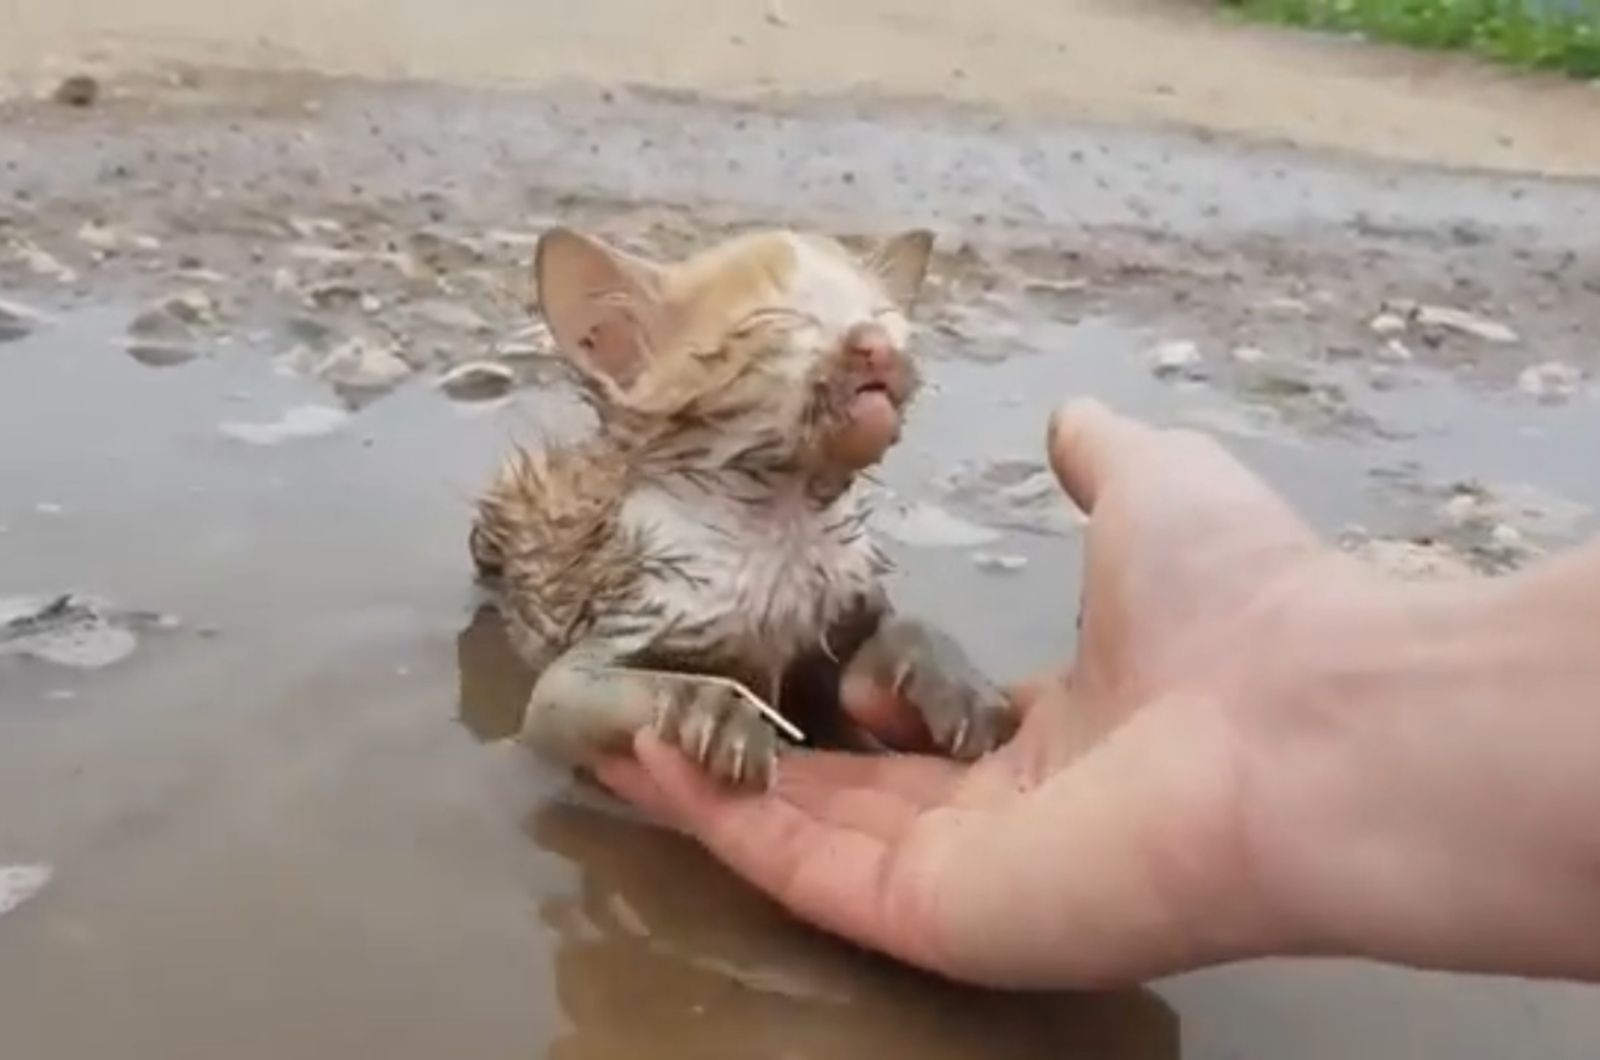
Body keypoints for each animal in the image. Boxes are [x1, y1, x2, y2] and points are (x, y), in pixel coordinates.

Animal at [467, 225, 1011, 787]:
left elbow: (897, 636)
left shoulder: (840, 618)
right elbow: (572, 698)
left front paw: (957, 681)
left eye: (884, 317)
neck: (783, 521)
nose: (876, 345)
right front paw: (714, 707)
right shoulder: (606, 641)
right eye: (780, 322)